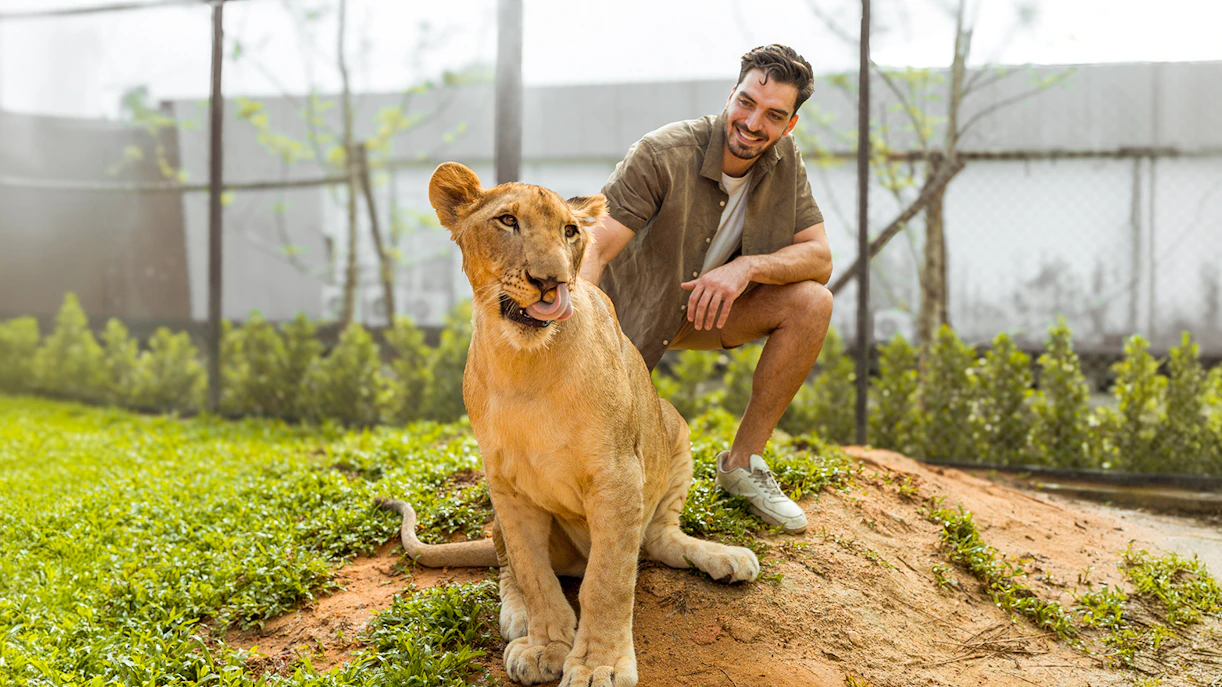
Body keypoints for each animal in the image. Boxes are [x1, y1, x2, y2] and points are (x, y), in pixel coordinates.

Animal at [375, 162, 759, 687]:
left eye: (570, 231)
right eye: (508, 221)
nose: (550, 281)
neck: (524, 365)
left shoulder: (618, 476)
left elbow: (608, 580)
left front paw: (599, 664)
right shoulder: (507, 486)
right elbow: (532, 572)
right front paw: (544, 645)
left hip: (672, 429)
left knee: (657, 539)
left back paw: (726, 558)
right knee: (504, 559)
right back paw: (516, 618)